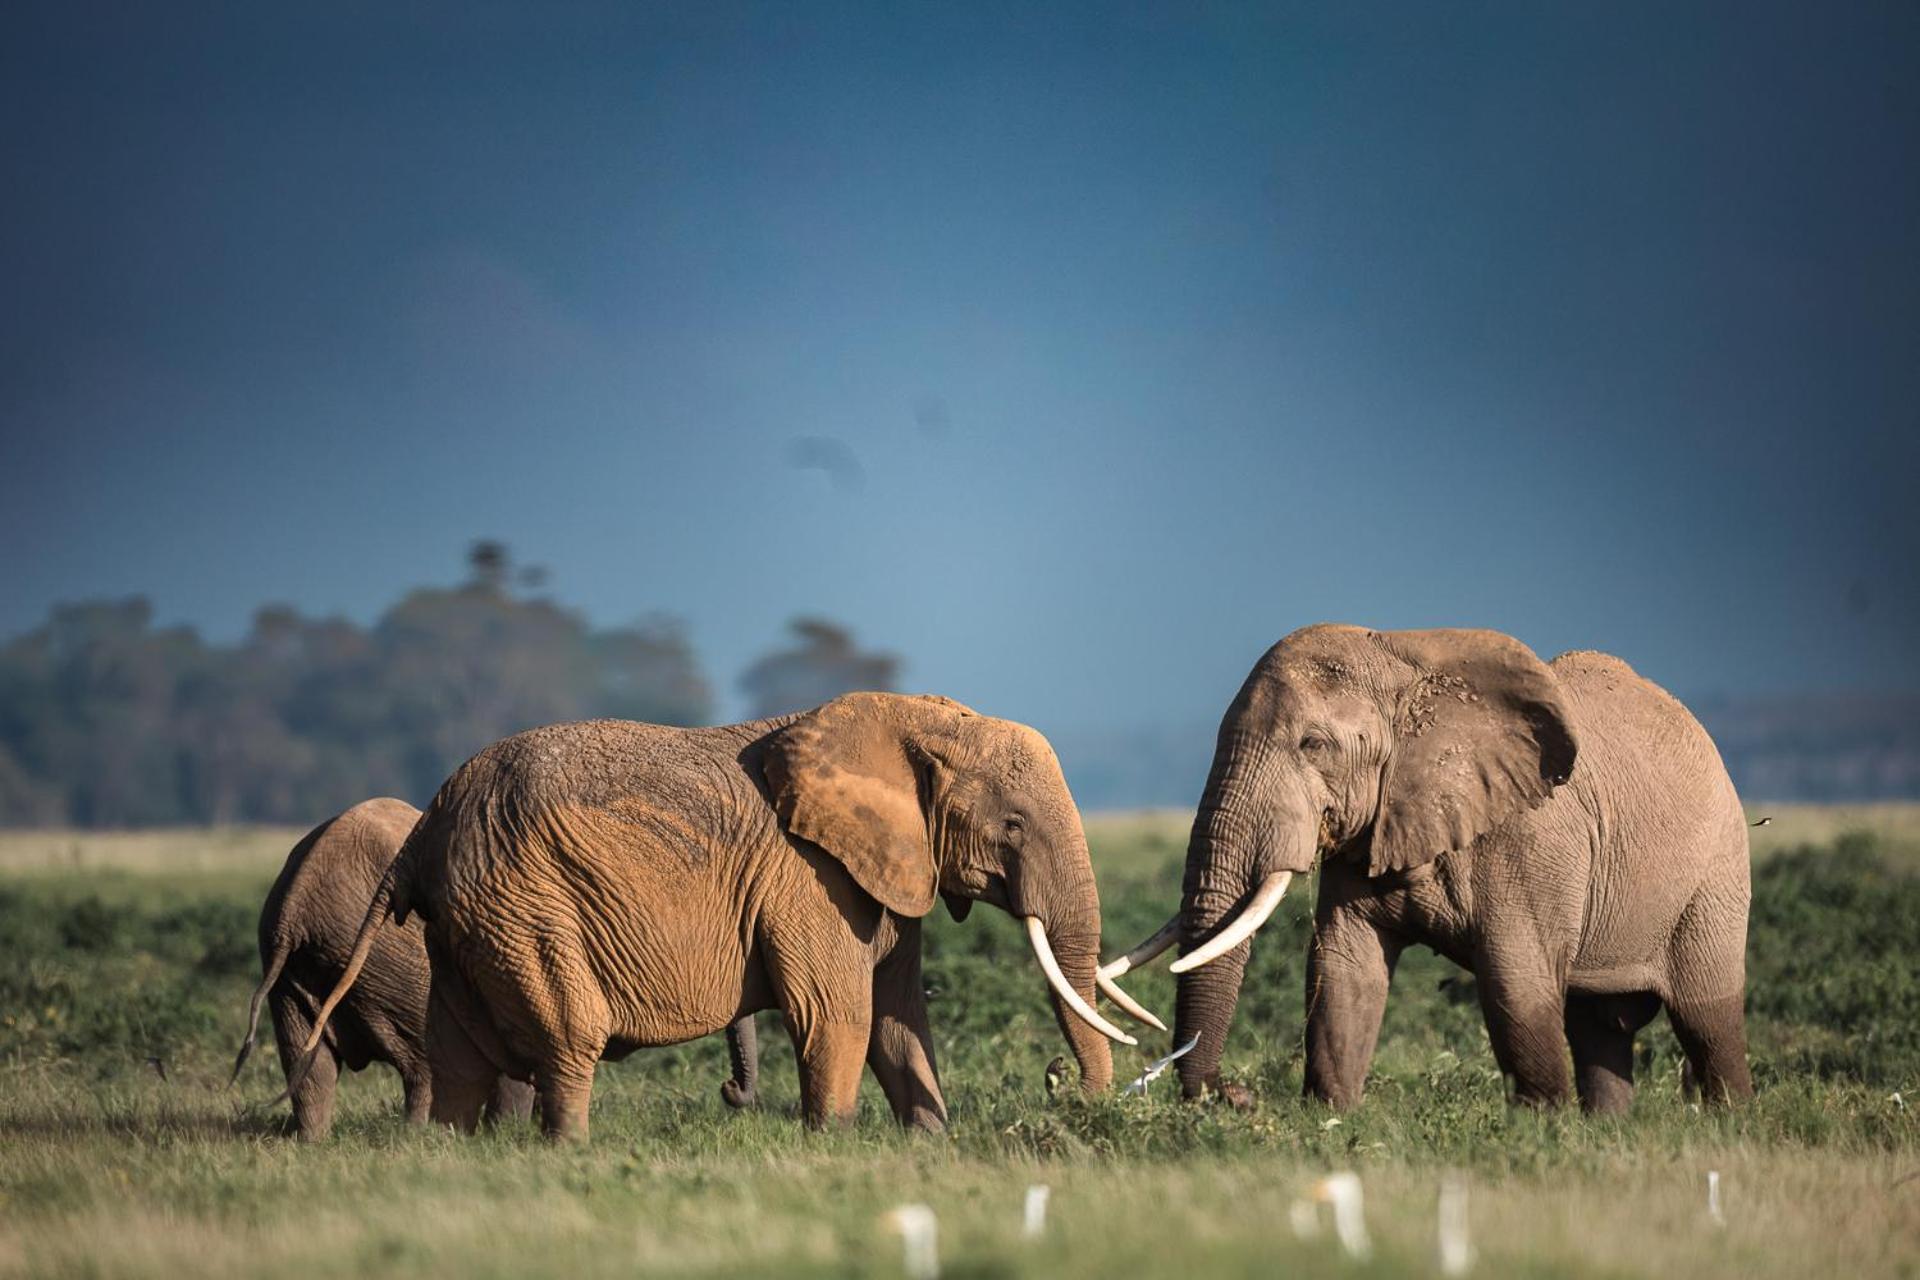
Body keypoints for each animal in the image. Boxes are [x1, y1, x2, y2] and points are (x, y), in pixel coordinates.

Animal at [231, 802, 537, 1143]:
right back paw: (425, 1136)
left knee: (310, 1065)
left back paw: (313, 1142)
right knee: (424, 1063)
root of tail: (296, 904)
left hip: (290, 967)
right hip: (392, 958)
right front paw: (506, 1133)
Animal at [291, 694, 1144, 1143]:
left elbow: (898, 1019)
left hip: (466, 920)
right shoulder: (811, 877)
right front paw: (832, 1143)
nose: (1060, 1084)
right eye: (1012, 828)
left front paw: (929, 1143)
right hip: (522, 904)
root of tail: (425, 829)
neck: (906, 718)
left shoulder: (884, 874)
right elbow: (838, 1012)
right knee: (567, 1035)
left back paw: (451, 1151)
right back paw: (567, 1153)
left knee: (457, 1053)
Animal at [1113, 629, 1758, 1113]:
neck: (1402, 661)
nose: (1234, 1095)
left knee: (1705, 1017)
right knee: (1599, 1029)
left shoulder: (1532, 837)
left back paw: (1728, 1125)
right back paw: (1608, 1131)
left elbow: (1515, 981)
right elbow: (1344, 973)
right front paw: (1331, 1120)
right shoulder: (1373, 825)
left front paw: (1540, 1128)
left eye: (1313, 745)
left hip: (1717, 872)